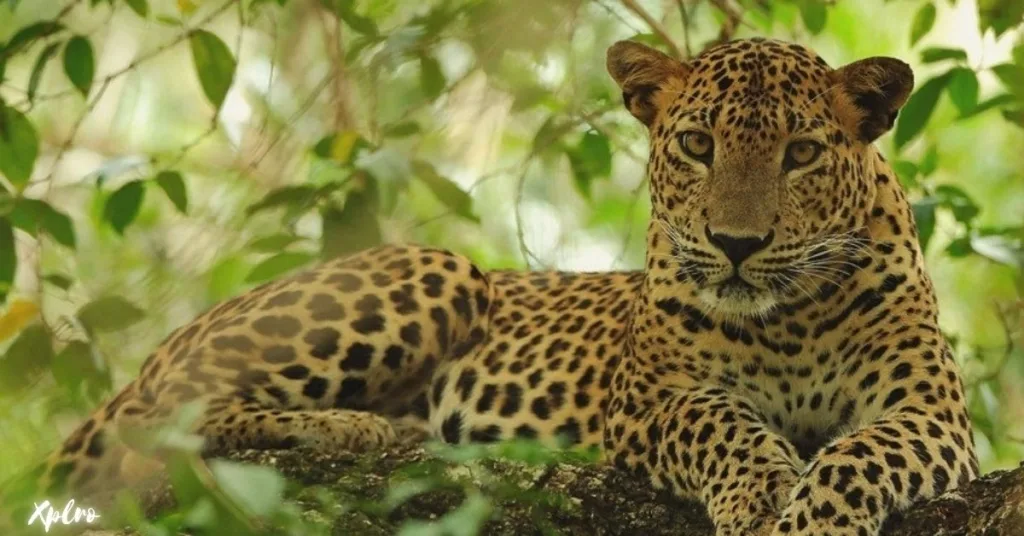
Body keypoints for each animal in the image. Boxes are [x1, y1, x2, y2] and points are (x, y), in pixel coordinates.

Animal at [6, 37, 974, 536]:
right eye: (698, 145)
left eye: (801, 154)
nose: (736, 245)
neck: (785, 320)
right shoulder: (652, 400)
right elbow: (725, 425)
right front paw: (760, 492)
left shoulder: (929, 413)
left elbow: (855, 456)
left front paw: (810, 516)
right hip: (437, 270)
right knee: (158, 421)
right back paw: (352, 428)